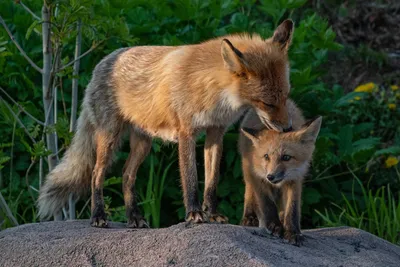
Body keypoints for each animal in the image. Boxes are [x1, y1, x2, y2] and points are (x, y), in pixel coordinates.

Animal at [38, 20, 294, 228]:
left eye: (285, 97)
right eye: (267, 103)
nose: (288, 129)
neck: (212, 90)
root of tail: (104, 61)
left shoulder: (215, 133)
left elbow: (211, 181)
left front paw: (212, 214)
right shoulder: (186, 132)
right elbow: (190, 178)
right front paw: (194, 214)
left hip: (143, 145)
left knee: (126, 176)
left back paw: (134, 218)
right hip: (109, 137)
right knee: (96, 174)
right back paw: (98, 216)